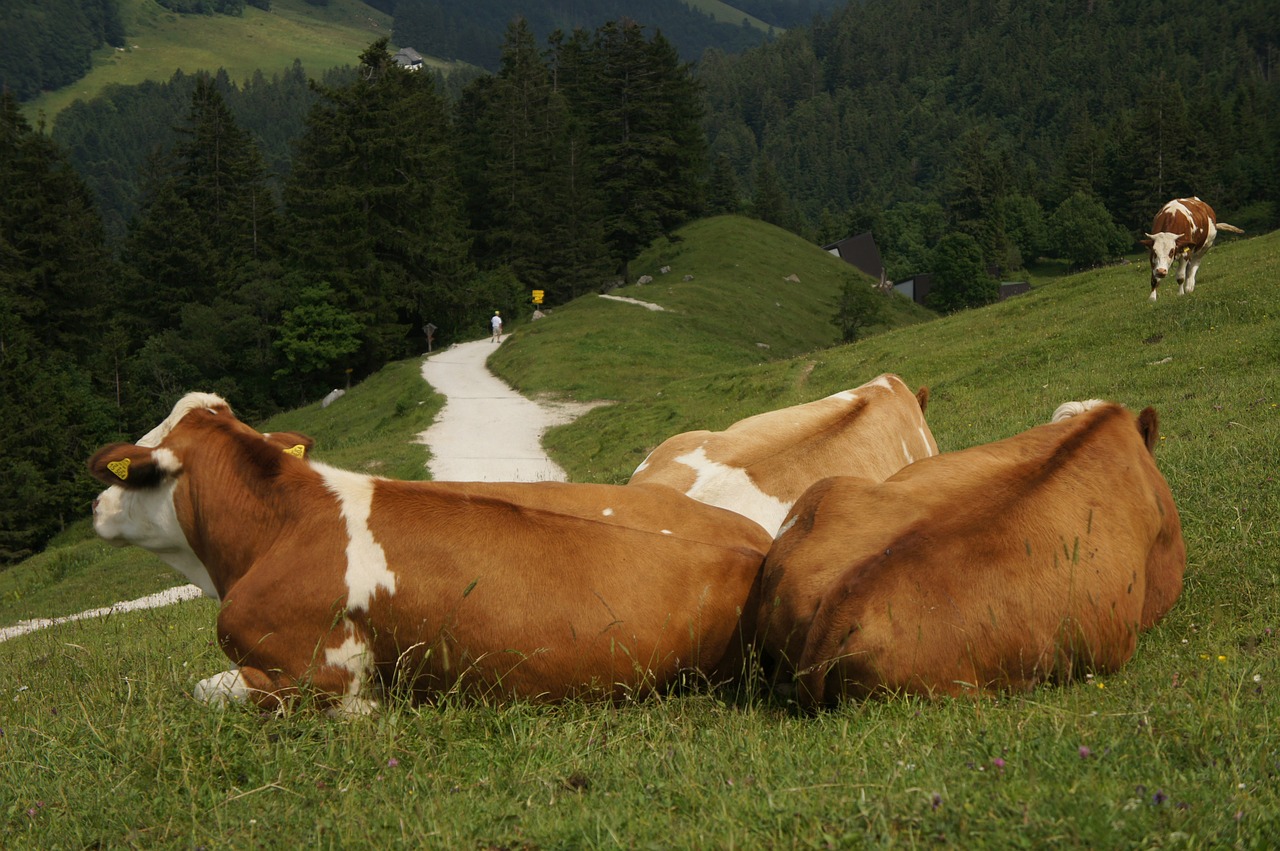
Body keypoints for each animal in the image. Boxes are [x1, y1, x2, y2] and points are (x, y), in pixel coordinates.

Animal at [90, 391, 773, 711]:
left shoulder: (321, 678)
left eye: (136, 474)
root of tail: (759, 543)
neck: (277, 531)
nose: (95, 506)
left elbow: (207, 691)